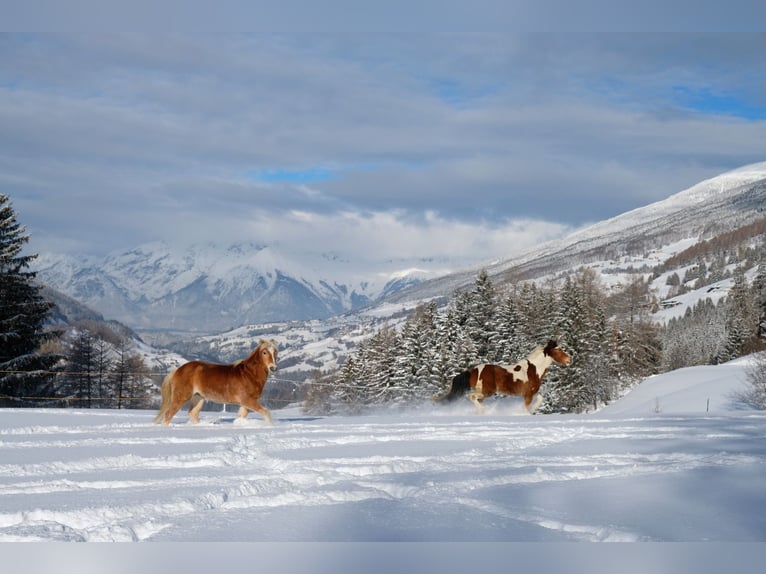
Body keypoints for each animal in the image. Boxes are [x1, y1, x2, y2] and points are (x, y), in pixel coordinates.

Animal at [438, 340, 568, 416]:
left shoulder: (531, 393)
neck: (534, 370)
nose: (569, 359)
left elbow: (540, 398)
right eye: (558, 350)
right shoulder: (528, 394)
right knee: (471, 396)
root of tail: (473, 370)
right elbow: (528, 406)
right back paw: (485, 411)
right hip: (487, 391)